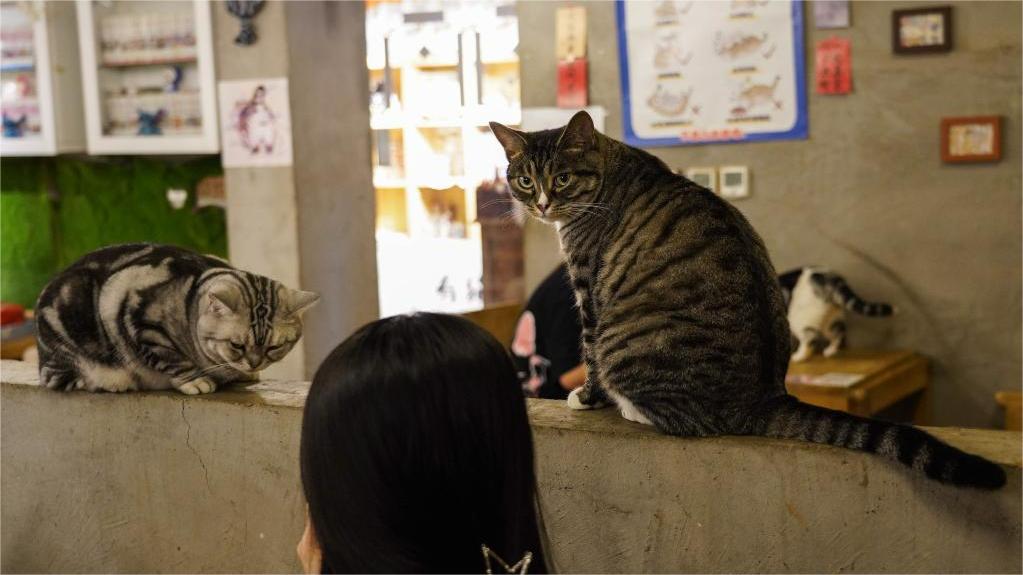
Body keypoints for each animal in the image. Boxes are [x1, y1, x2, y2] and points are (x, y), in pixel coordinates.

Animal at [36, 241, 317, 392]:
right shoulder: (140, 320)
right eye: (236, 345)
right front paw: (197, 380)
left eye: (274, 347)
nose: (254, 364)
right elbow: (171, 357)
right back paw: (112, 381)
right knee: (61, 378)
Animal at [491, 112, 1002, 487]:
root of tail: (763, 398)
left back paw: (630, 406)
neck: (610, 168)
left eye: (561, 179)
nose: (540, 203)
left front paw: (586, 397)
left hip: (631, 340)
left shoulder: (588, 287)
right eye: (524, 180)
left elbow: (590, 351)